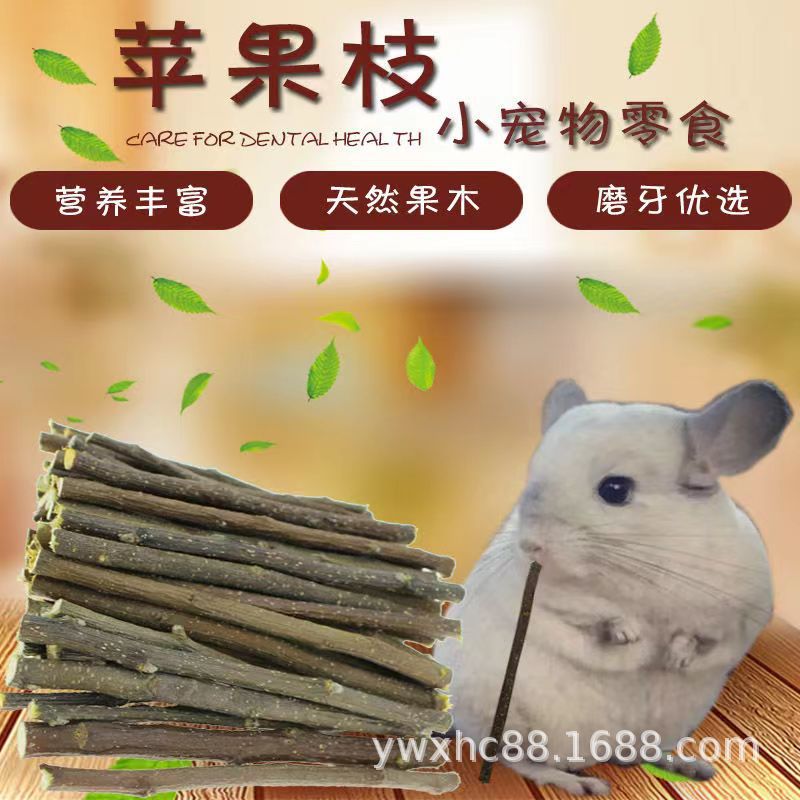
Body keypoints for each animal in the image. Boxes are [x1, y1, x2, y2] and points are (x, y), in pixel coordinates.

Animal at [436, 380, 791, 796]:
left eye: (616, 489)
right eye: (532, 476)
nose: (530, 545)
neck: (645, 563)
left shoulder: (743, 608)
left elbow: (711, 639)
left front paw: (678, 655)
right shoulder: (548, 601)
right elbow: (587, 615)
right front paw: (629, 635)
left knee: (635, 754)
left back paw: (687, 765)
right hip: (504, 720)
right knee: (520, 760)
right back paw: (581, 783)